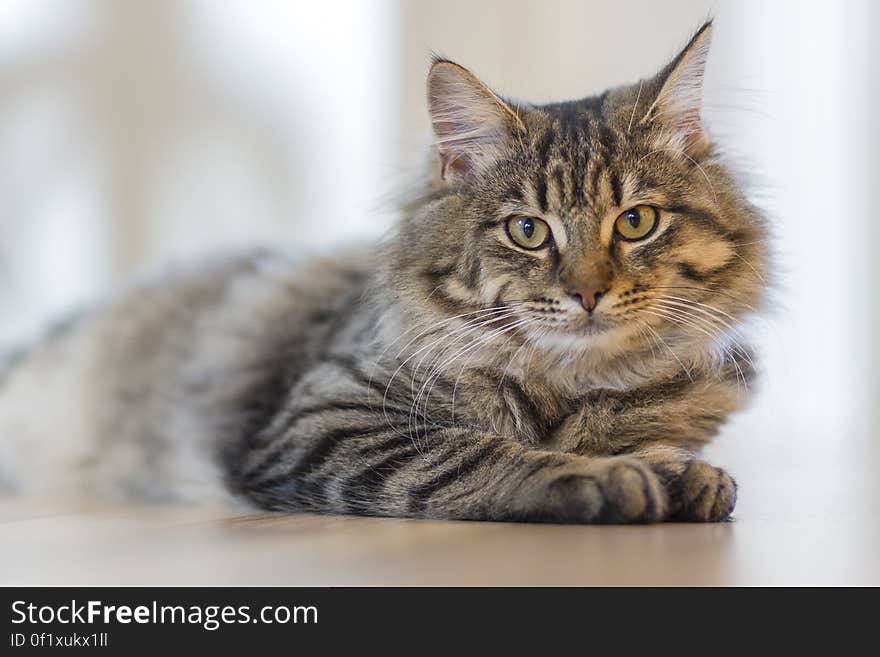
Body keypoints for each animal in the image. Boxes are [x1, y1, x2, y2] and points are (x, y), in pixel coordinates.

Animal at [0, 21, 768, 524]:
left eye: (636, 222)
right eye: (527, 231)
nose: (586, 292)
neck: (572, 386)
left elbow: (657, 442)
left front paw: (682, 471)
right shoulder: (326, 416)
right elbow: (483, 452)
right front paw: (609, 477)